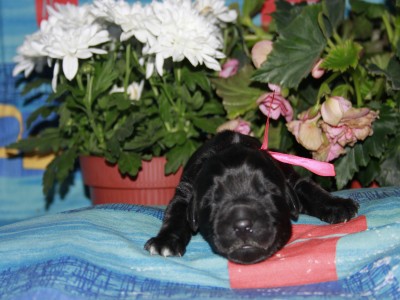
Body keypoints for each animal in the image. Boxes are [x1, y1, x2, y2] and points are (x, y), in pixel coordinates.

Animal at [145, 131, 360, 264]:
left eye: (269, 192)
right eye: (212, 199)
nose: (242, 225)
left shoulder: (292, 180)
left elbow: (311, 189)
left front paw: (339, 205)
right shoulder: (185, 191)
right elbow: (175, 216)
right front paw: (165, 242)